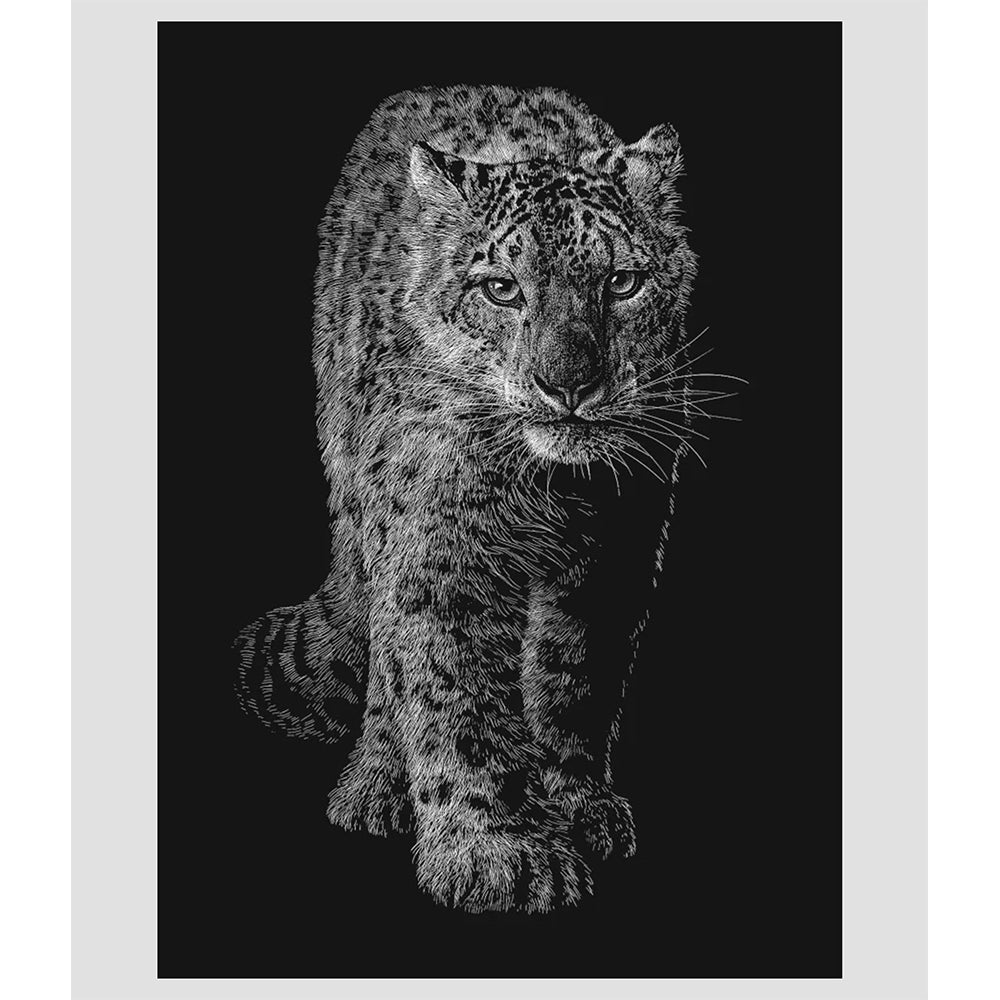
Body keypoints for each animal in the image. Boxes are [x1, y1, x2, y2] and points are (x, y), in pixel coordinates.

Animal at [235, 84, 703, 913]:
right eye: (501, 289)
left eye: (622, 281)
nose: (568, 386)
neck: (551, 488)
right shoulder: (440, 542)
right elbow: (454, 692)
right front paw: (499, 852)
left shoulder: (617, 549)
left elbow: (576, 676)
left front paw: (578, 802)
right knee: (388, 656)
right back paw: (374, 787)